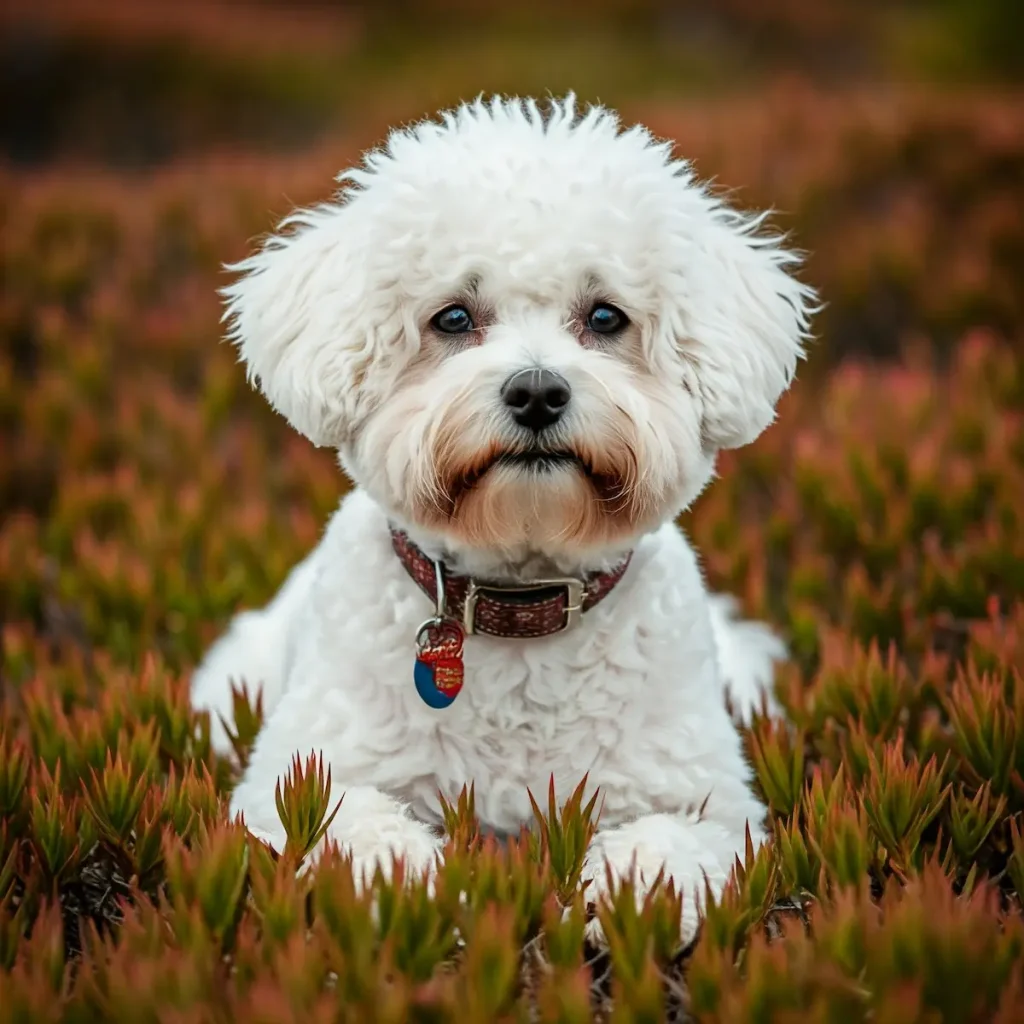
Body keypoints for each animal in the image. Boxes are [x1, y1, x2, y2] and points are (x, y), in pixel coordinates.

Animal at [192, 94, 815, 937]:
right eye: (454, 318)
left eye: (606, 317)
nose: (537, 392)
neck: (518, 605)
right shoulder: (303, 779)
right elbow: (363, 836)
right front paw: (419, 893)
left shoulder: (705, 800)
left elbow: (663, 848)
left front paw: (626, 899)